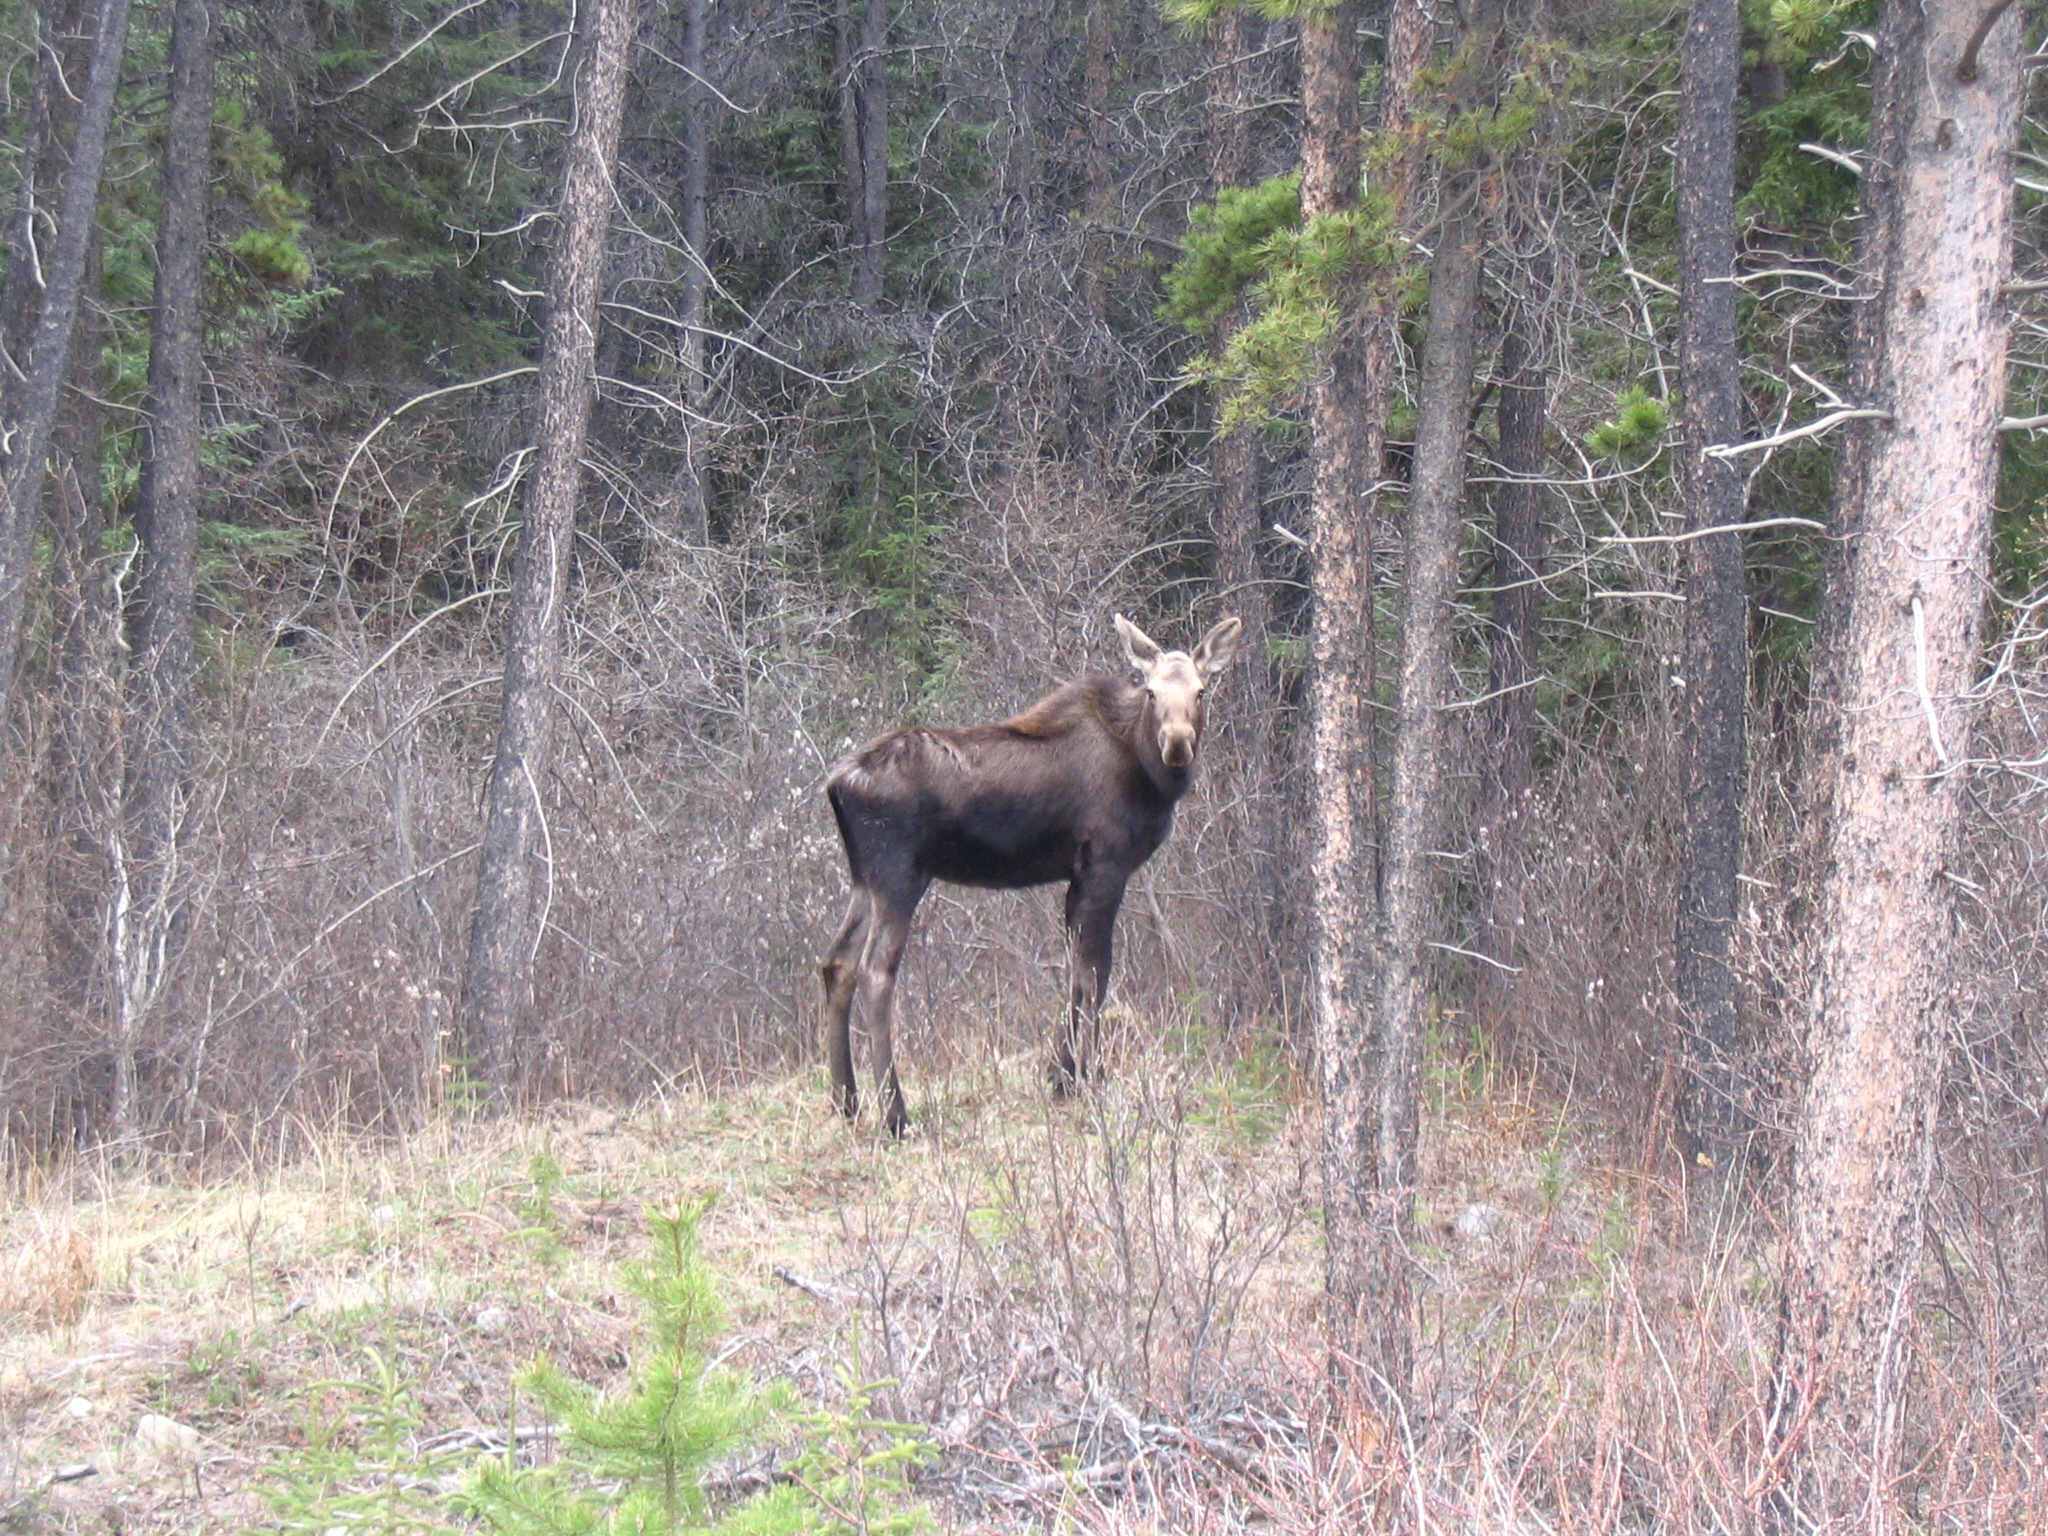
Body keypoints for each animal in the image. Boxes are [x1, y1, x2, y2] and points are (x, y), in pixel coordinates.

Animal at [819, 614, 1242, 1133]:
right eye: (1151, 691)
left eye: (1201, 691)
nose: (1178, 744)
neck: (1149, 775)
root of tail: (836, 784)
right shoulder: (1105, 861)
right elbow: (1095, 971)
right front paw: (1085, 1078)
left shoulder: (1077, 876)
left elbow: (1077, 971)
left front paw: (1061, 1076)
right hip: (900, 875)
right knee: (875, 971)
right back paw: (895, 1114)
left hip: (865, 879)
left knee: (837, 963)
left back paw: (846, 1101)